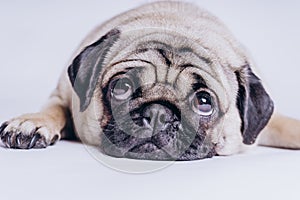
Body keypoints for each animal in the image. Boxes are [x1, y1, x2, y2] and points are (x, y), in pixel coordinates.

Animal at [0, 1, 300, 161]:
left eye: (204, 102)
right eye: (121, 88)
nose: (158, 113)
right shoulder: (64, 94)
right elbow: (54, 108)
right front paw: (33, 122)